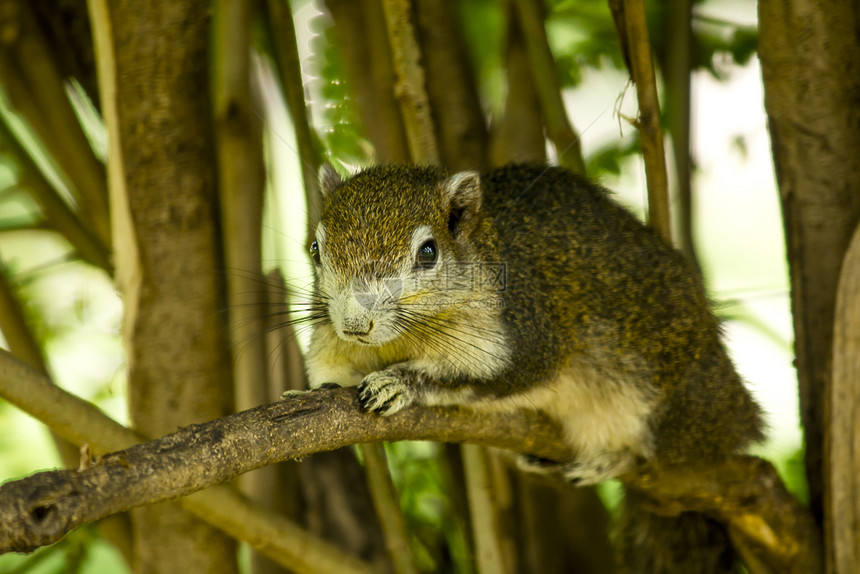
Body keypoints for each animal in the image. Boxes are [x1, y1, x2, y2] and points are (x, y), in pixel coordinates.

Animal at [302, 163, 764, 574]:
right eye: (315, 249)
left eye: (428, 253)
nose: (354, 325)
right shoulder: (331, 342)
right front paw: (311, 396)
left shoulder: (525, 339)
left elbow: (474, 380)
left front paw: (401, 383)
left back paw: (613, 457)